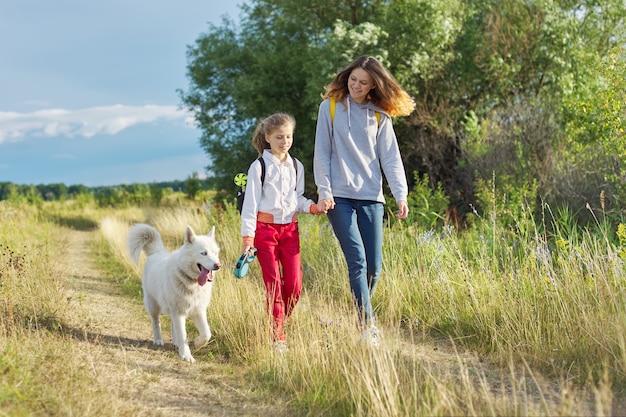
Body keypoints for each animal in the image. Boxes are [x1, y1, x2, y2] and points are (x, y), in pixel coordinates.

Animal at [125, 223, 221, 362]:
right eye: (204, 253)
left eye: (215, 253)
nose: (218, 265)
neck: (191, 282)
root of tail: (157, 252)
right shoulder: (179, 313)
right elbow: (182, 334)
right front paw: (186, 355)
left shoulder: (198, 311)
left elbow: (206, 334)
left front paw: (197, 343)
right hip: (153, 306)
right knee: (156, 322)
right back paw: (158, 340)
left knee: (172, 324)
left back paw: (175, 343)